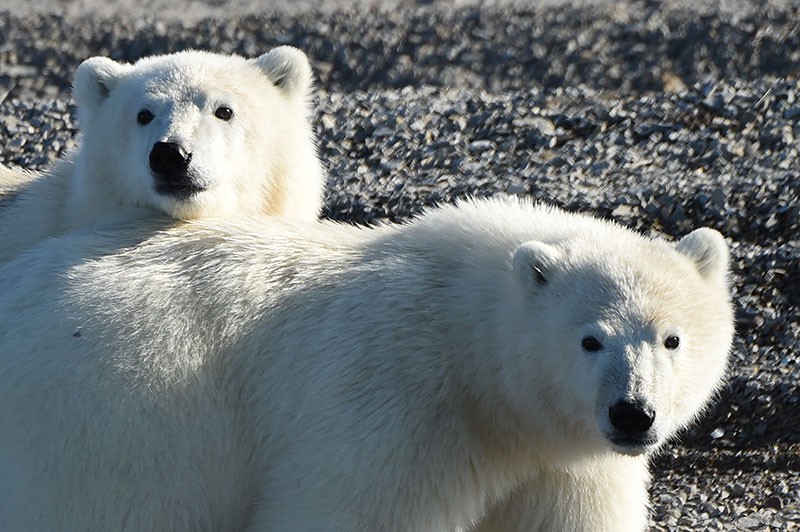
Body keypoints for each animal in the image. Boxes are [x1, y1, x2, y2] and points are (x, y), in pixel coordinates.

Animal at [0, 197, 736, 528]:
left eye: (671, 339)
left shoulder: (559, 461)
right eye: (591, 339)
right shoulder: (394, 405)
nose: (633, 414)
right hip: (117, 414)